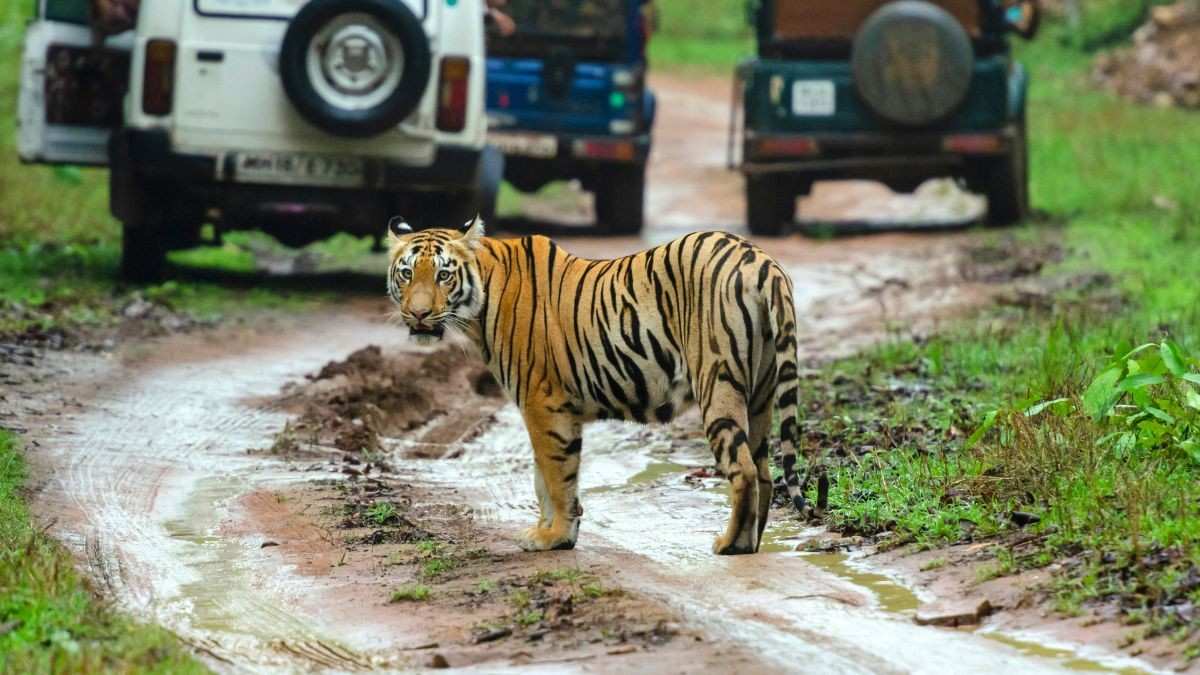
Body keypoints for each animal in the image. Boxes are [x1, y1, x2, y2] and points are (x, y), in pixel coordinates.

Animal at [385, 215, 817, 555]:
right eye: (407, 273)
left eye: (443, 275)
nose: (418, 314)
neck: (480, 305)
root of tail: (760, 260)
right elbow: (545, 478)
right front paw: (551, 532)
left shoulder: (543, 403)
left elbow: (556, 475)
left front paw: (554, 537)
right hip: (760, 392)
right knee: (764, 471)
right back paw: (754, 541)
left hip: (718, 383)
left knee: (742, 469)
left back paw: (731, 545)